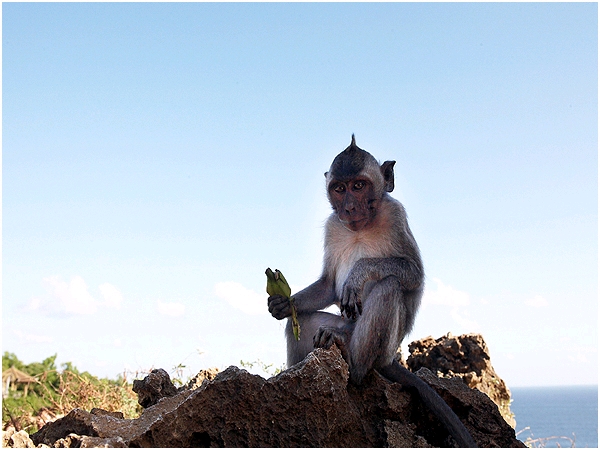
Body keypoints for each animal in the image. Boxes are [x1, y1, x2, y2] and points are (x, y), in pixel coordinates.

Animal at [270, 135, 476, 448]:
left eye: (359, 186)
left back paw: (352, 362)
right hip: (343, 324)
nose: (349, 208)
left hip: (381, 348)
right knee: (304, 321)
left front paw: (358, 273)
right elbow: (328, 285)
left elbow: (413, 274)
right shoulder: (333, 225)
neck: (362, 226)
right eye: (340, 189)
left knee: (388, 286)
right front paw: (283, 303)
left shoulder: (396, 214)